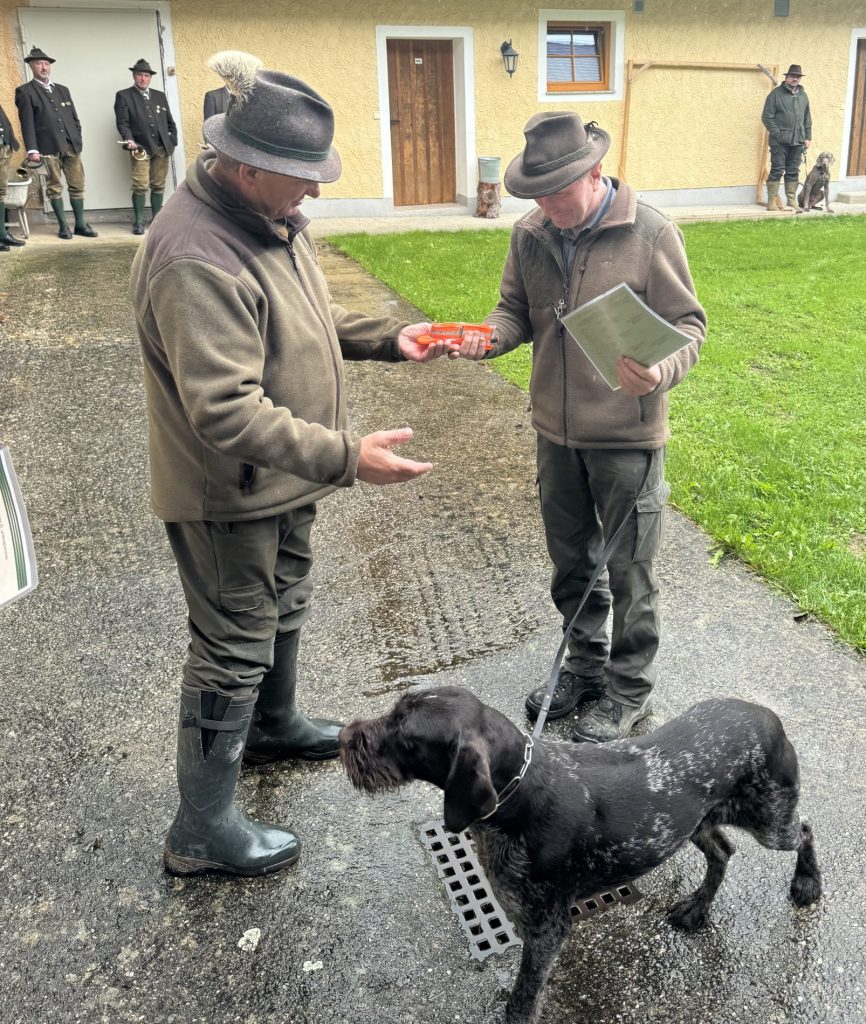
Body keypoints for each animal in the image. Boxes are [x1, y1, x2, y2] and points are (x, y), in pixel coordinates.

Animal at [339, 688, 818, 1024]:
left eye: (406, 736)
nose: (343, 737)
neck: (518, 795)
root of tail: (770, 717)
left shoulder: (547, 925)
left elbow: (524, 994)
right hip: (692, 825)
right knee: (723, 850)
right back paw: (698, 908)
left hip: (771, 821)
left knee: (805, 831)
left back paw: (807, 882)